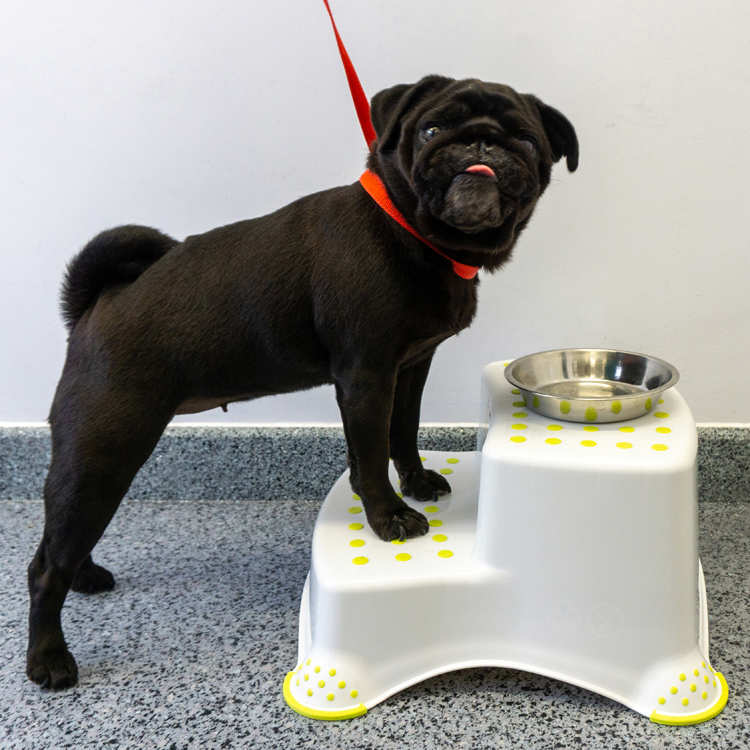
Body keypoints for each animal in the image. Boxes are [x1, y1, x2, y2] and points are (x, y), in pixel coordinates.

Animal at [22, 73, 576, 692]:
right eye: (432, 130)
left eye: (524, 142)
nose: (480, 144)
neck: (410, 231)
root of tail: (96, 303)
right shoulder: (367, 375)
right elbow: (370, 453)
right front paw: (388, 517)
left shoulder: (411, 367)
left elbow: (402, 432)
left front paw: (415, 482)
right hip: (104, 448)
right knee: (45, 566)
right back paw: (48, 658)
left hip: (99, 460)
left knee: (61, 539)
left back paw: (86, 575)